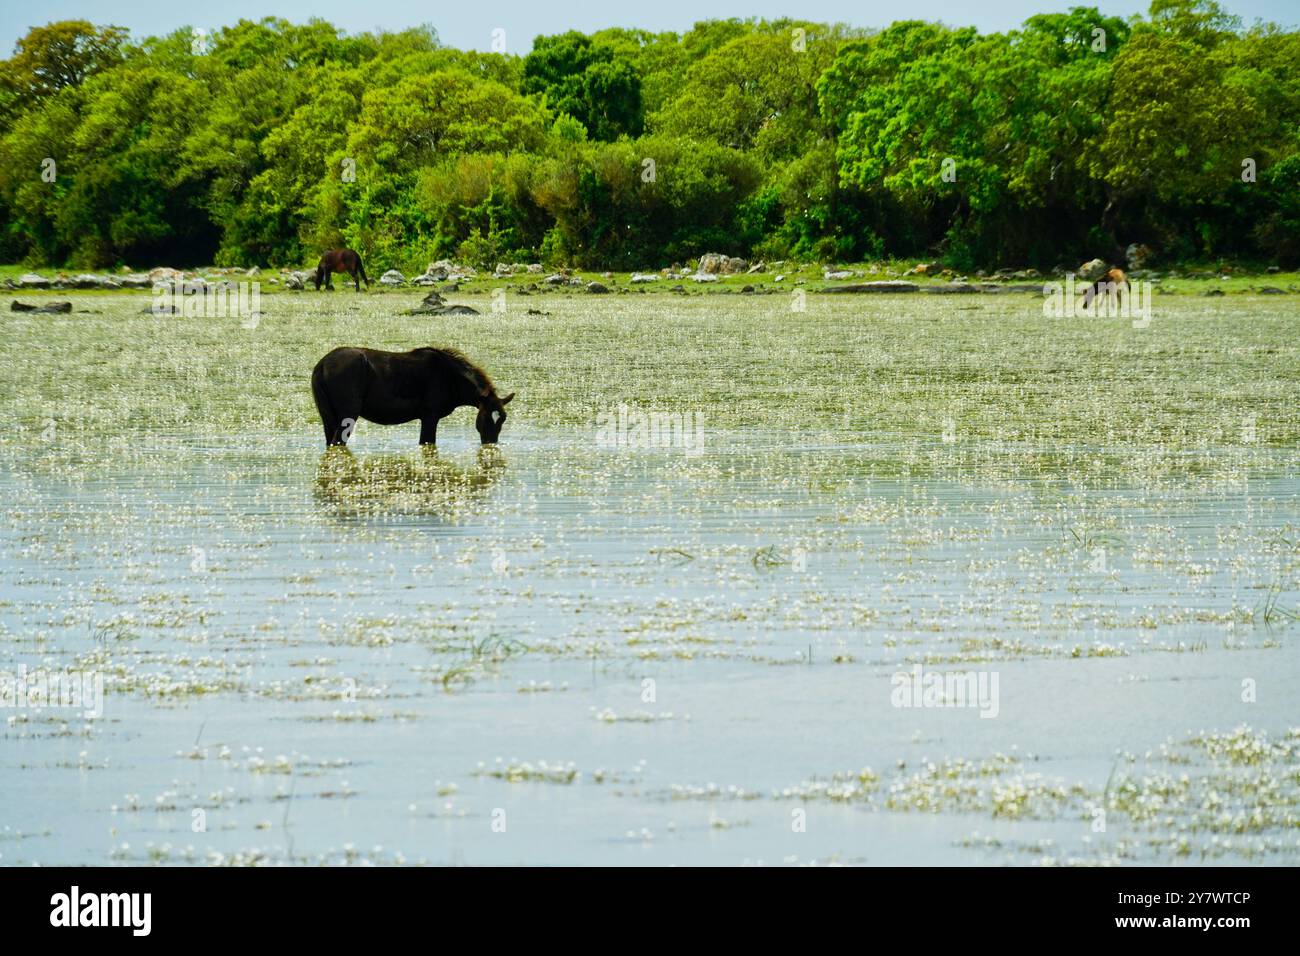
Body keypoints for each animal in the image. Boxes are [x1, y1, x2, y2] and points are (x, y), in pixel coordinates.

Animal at [312, 345, 514, 447]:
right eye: (486, 416)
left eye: (502, 419)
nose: (490, 442)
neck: (451, 379)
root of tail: (321, 365)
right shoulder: (430, 417)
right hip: (348, 415)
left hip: (328, 416)